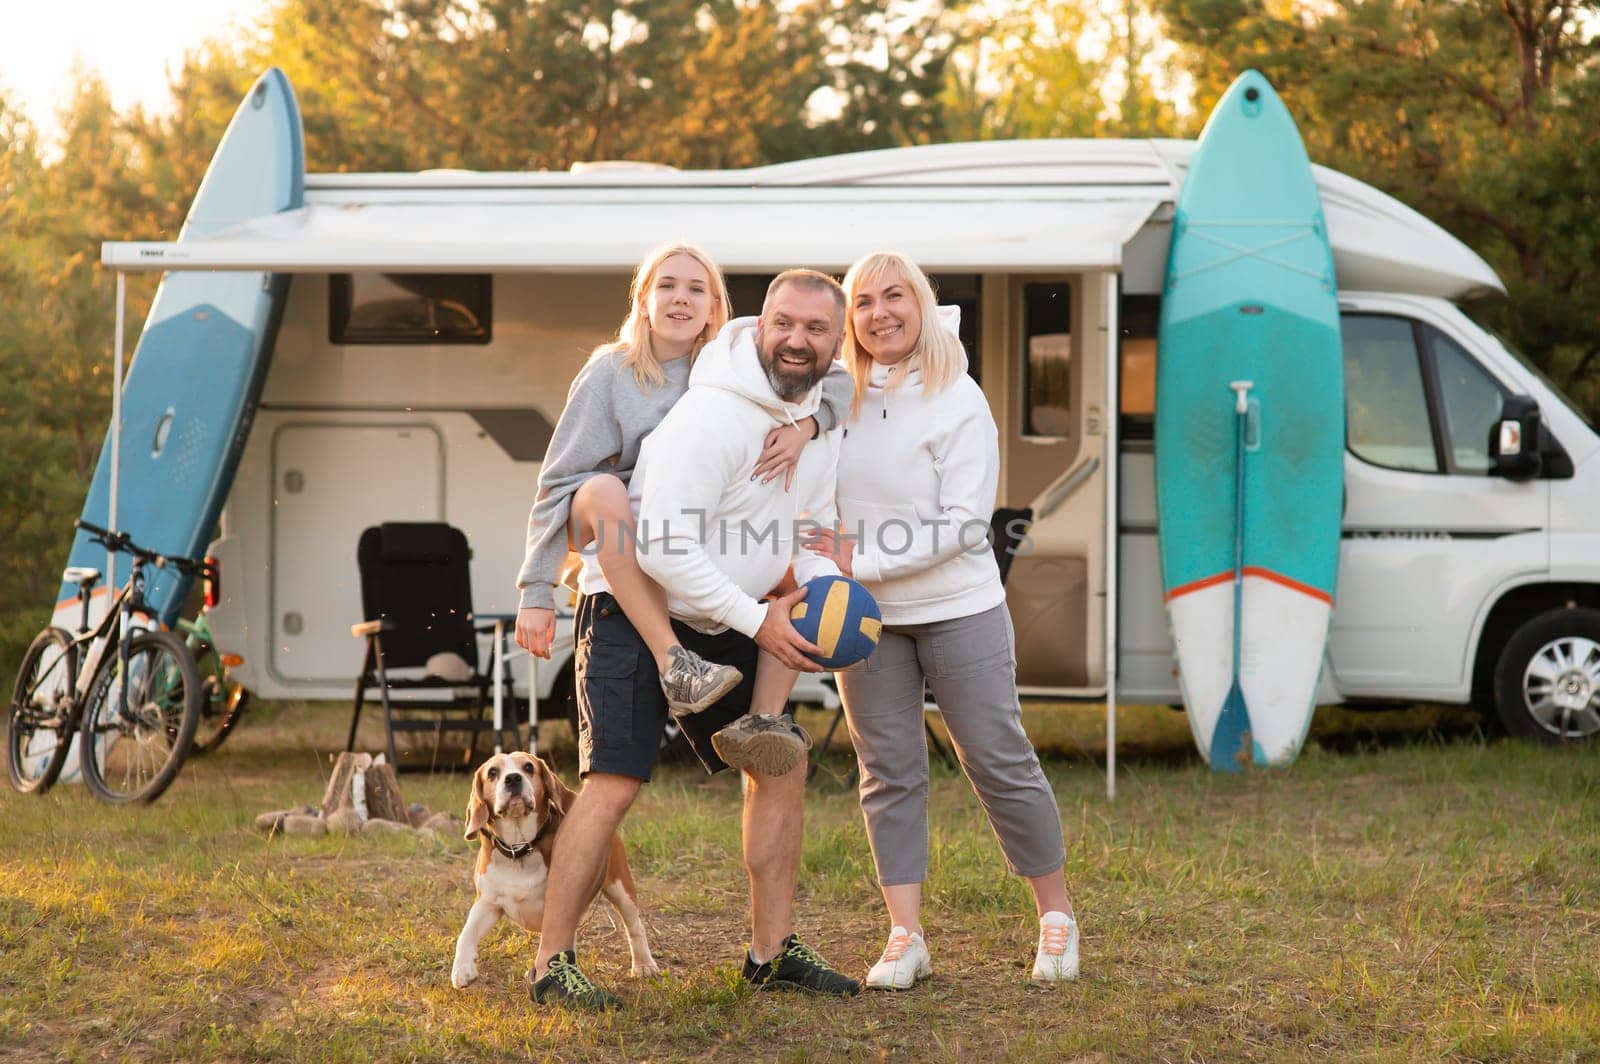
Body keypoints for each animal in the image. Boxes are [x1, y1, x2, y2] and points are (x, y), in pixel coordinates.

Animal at [448, 745, 659, 985]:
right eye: (493, 772)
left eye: (528, 767)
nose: (513, 779)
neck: (519, 848)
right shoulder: (487, 903)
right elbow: (466, 934)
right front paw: (462, 969)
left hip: (620, 887)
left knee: (634, 926)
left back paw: (644, 965)